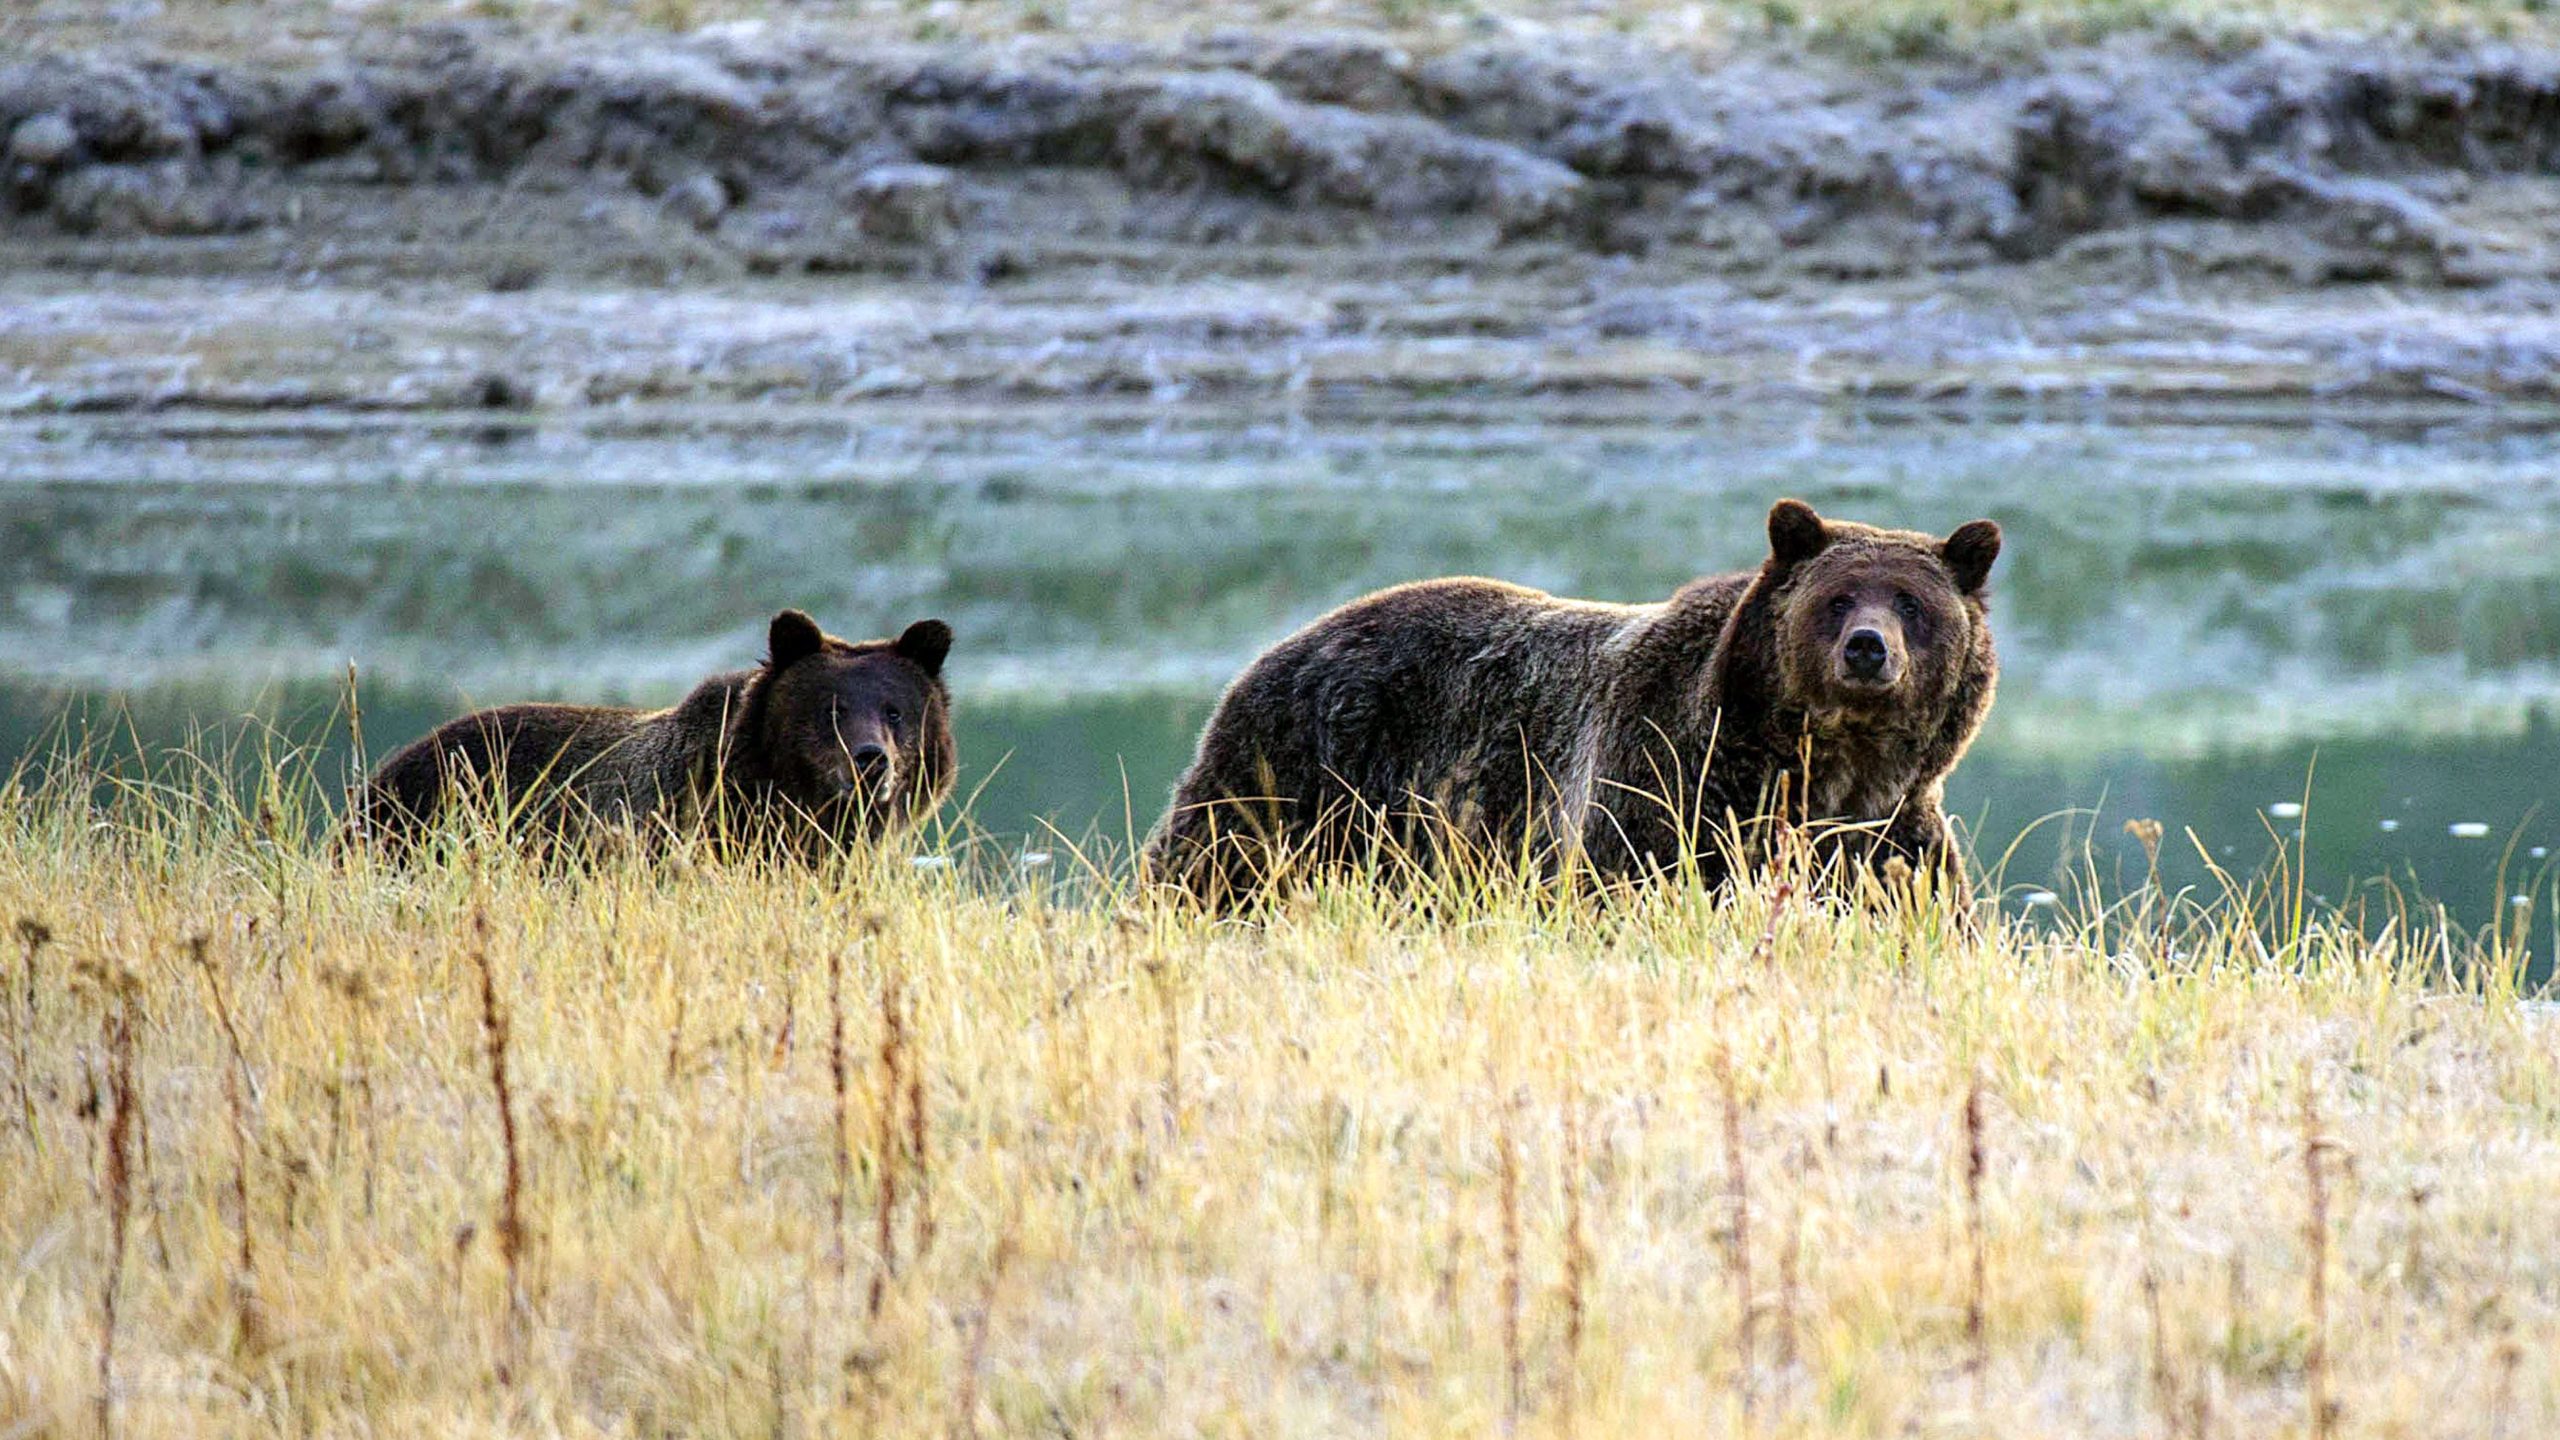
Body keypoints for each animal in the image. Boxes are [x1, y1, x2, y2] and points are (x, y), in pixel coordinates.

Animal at [1141, 499, 1996, 901]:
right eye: (1837, 597)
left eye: (1912, 602)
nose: (1868, 648)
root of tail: (1278, 646)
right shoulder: (1666, 789)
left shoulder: (1887, 836)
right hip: (1297, 776)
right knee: (1210, 868)